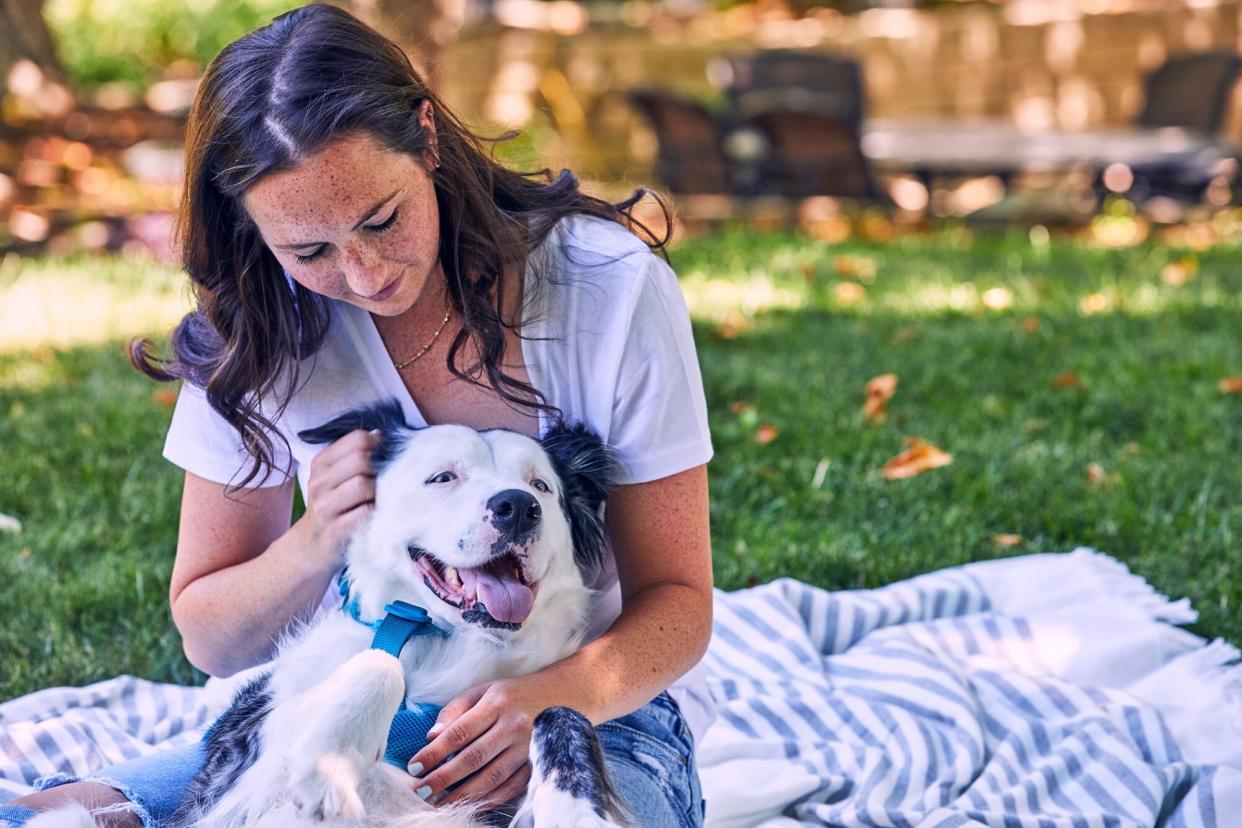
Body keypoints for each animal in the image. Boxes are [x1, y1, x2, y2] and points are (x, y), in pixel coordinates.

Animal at [36, 397, 630, 824]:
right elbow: (378, 665)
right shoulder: (255, 755)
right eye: (443, 477)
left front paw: (578, 813)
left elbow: (560, 711)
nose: (518, 507)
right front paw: (330, 767)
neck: (448, 643)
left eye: (541, 486)